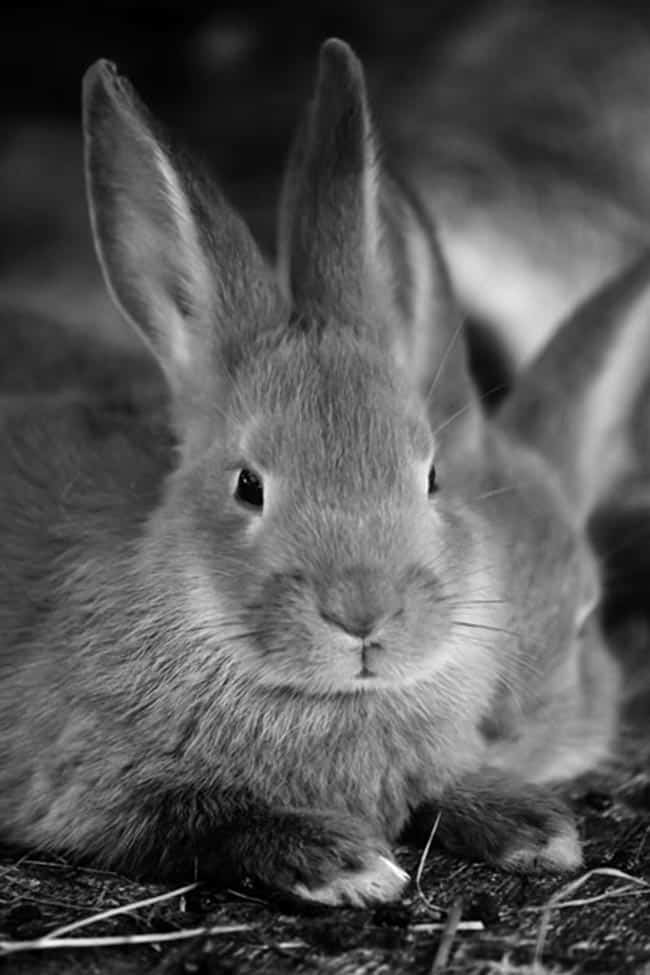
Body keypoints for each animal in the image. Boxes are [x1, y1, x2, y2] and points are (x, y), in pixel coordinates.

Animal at [0, 36, 642, 908]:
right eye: (249, 484)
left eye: (430, 477)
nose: (364, 612)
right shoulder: (83, 777)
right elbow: (200, 813)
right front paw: (345, 861)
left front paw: (531, 826)